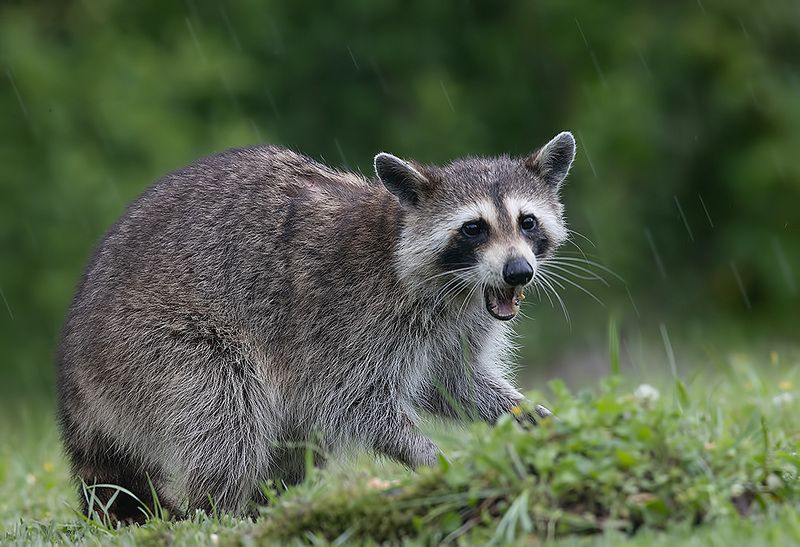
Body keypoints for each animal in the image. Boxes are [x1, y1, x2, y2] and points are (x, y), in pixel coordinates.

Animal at [56, 131, 576, 522]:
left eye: (527, 222)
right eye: (473, 228)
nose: (517, 272)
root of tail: (71, 370)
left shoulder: (456, 324)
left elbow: (455, 381)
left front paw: (531, 416)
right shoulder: (349, 318)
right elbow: (355, 404)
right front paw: (434, 459)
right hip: (150, 346)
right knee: (228, 410)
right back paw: (221, 512)